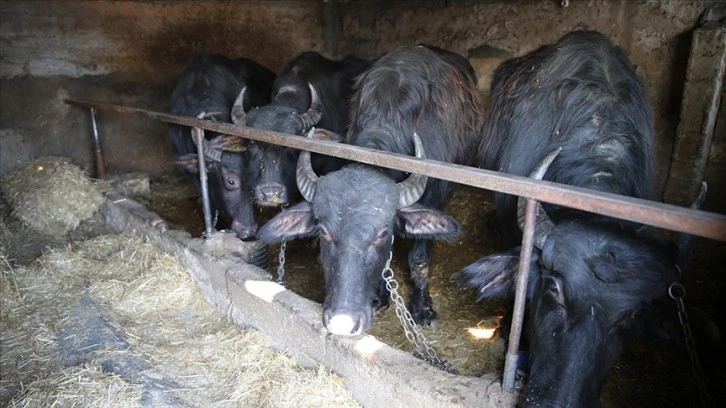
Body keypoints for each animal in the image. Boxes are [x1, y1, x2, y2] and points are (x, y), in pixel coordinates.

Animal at [258, 46, 486, 336]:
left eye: (382, 233)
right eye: (323, 231)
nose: (342, 322)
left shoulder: (436, 195)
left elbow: (419, 260)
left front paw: (422, 308)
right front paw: (380, 296)